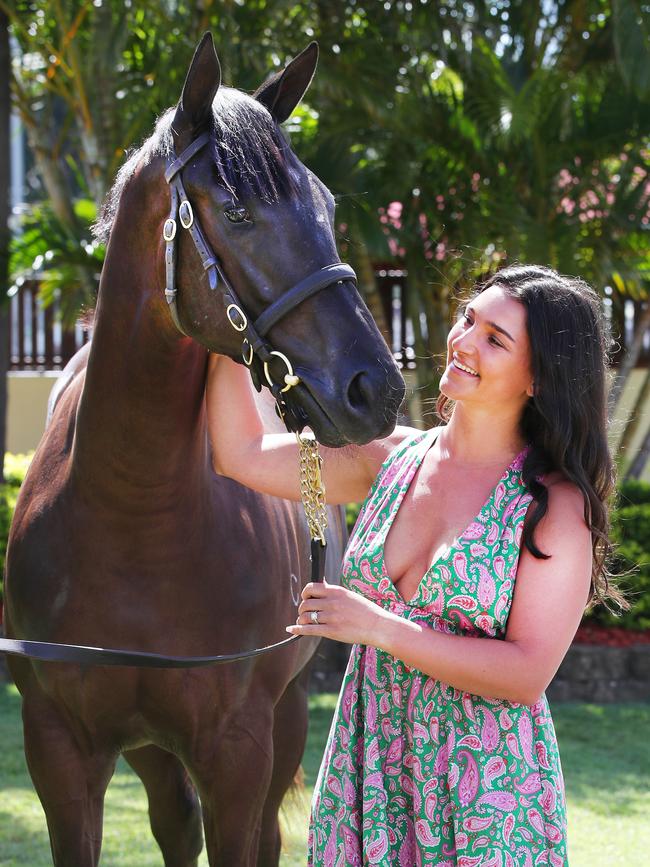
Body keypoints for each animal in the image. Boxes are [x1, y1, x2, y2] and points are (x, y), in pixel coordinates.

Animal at [2, 34, 402, 867]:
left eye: (326, 207)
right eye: (239, 210)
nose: (375, 387)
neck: (132, 514)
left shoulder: (239, 751)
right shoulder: (59, 752)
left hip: (282, 719)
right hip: (150, 745)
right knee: (172, 821)